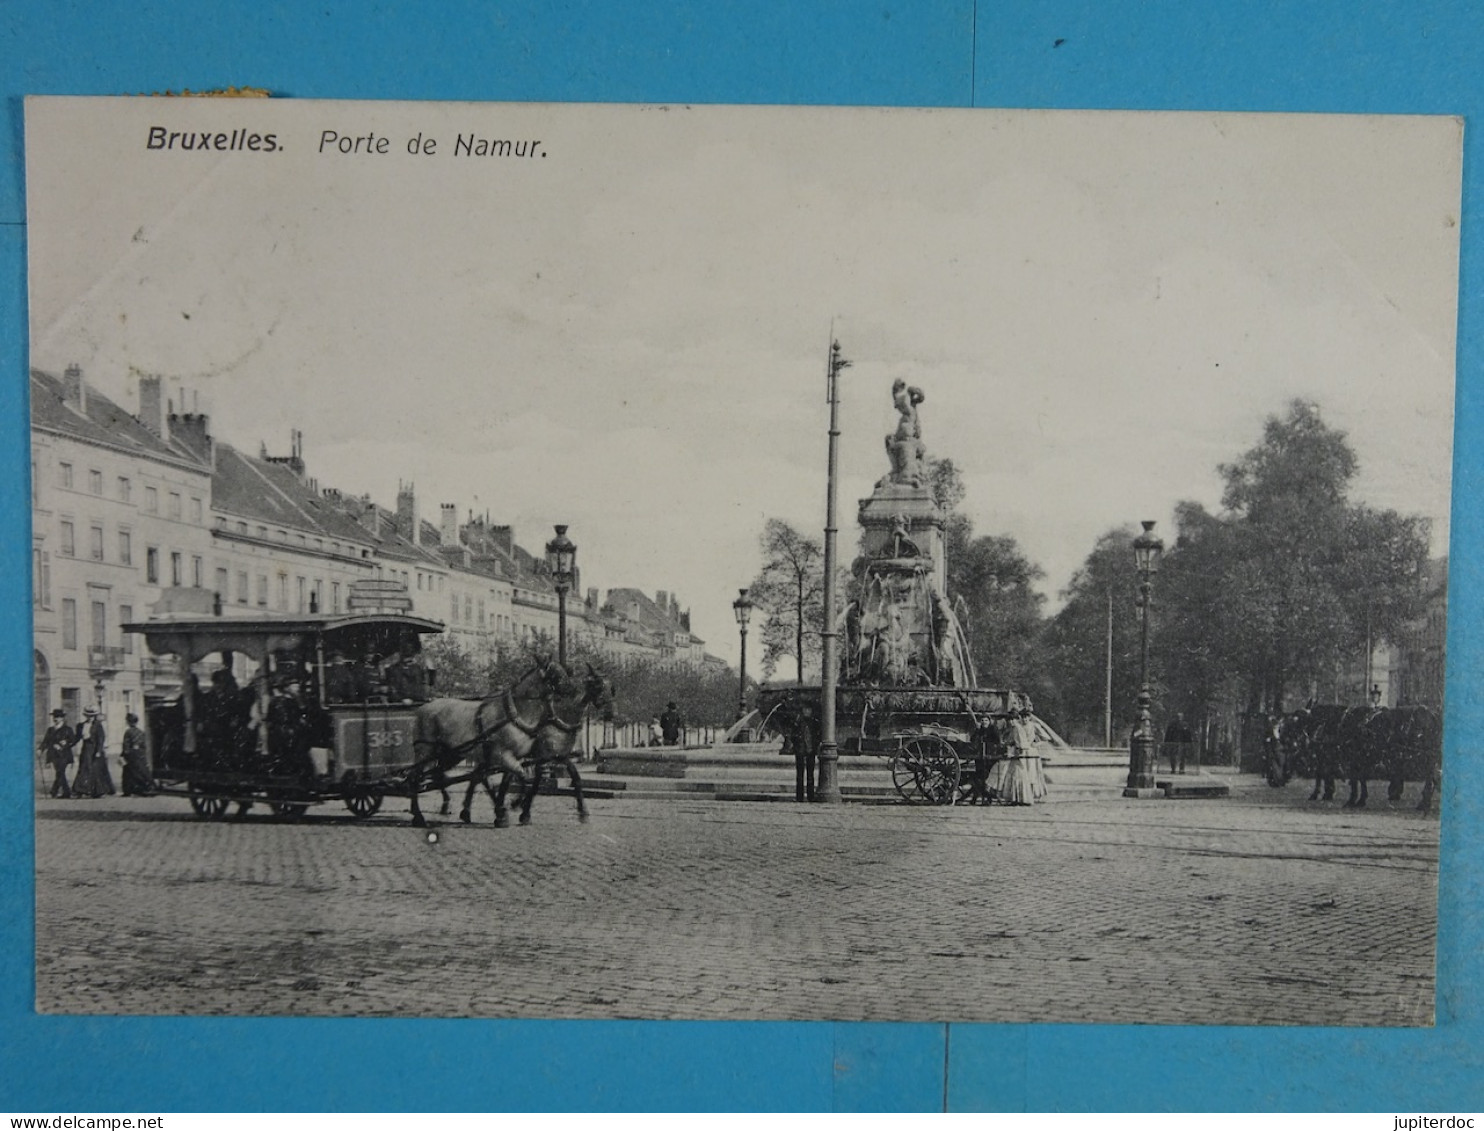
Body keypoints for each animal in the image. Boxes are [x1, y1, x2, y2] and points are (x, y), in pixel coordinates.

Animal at [409, 656, 611, 825]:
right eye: (555, 674)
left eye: (610, 687)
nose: (572, 690)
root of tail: (424, 707)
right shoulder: (523, 755)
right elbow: (525, 779)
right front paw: (518, 807)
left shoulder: (552, 755)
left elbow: (572, 777)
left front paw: (583, 812)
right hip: (427, 751)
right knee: (416, 777)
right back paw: (420, 815)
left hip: (453, 754)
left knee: (458, 775)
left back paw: (460, 809)